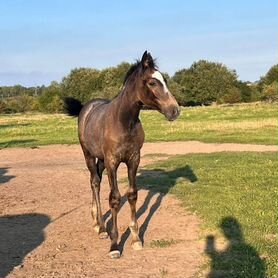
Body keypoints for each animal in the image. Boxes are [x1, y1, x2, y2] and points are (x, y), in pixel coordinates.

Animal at [63, 50, 180, 258]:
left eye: (164, 80)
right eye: (152, 82)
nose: (174, 110)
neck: (124, 122)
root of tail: (86, 107)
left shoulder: (133, 159)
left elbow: (132, 195)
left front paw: (135, 238)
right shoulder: (113, 162)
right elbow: (115, 198)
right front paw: (114, 244)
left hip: (101, 159)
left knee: (95, 181)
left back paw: (96, 221)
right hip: (88, 155)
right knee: (95, 182)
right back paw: (101, 228)